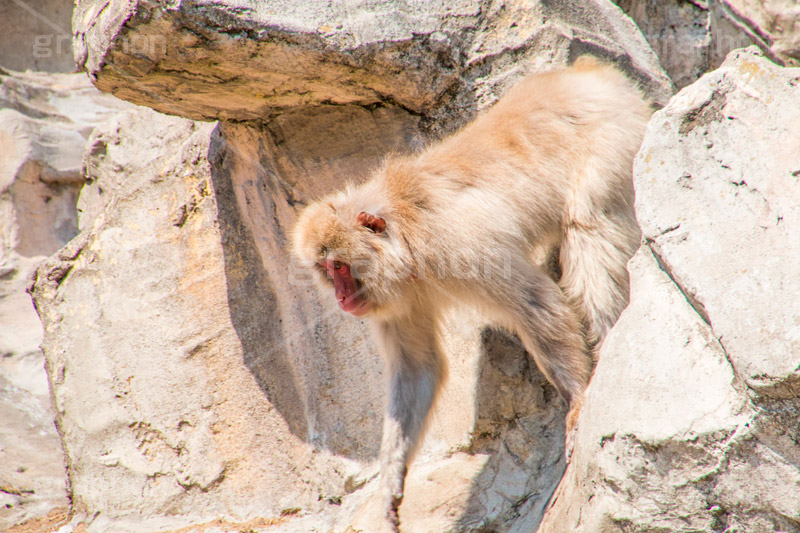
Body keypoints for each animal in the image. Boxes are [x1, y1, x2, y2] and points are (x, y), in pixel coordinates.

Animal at [290, 56, 652, 528]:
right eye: (325, 270)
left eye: (339, 267)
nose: (340, 298)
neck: (406, 237)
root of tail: (587, 74)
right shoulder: (398, 299)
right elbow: (418, 368)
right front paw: (390, 481)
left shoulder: (457, 245)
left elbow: (534, 301)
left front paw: (576, 401)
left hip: (612, 137)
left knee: (589, 224)